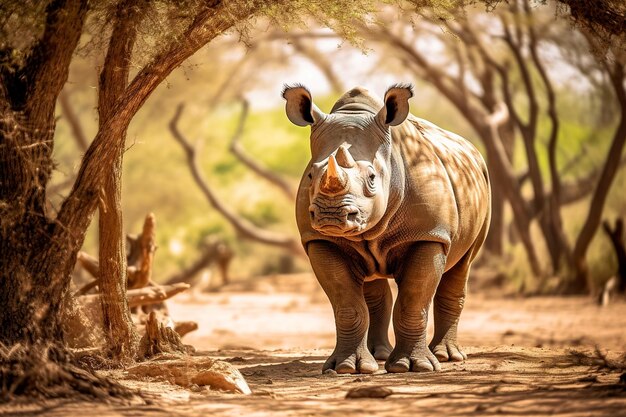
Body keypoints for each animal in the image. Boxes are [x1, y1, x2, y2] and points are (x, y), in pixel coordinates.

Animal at [280, 83, 490, 374]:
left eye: (371, 178)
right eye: (311, 175)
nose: (331, 215)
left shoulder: (429, 235)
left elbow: (413, 301)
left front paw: (413, 366)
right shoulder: (321, 240)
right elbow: (348, 305)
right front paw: (346, 368)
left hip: (482, 185)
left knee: (462, 264)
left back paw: (448, 356)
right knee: (371, 281)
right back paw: (378, 355)